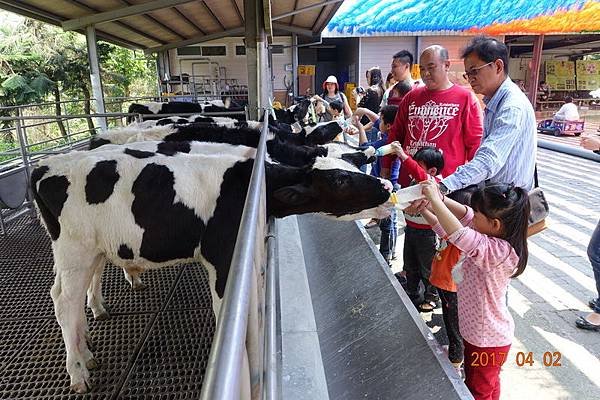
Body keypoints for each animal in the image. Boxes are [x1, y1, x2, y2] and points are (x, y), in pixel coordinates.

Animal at [31, 145, 394, 392]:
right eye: (340, 179)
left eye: (350, 165)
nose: (388, 188)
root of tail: (49, 163)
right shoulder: (223, 256)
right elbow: (225, 313)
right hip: (74, 248)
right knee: (63, 301)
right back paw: (78, 371)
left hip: (91, 249)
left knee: (79, 294)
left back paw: (88, 344)